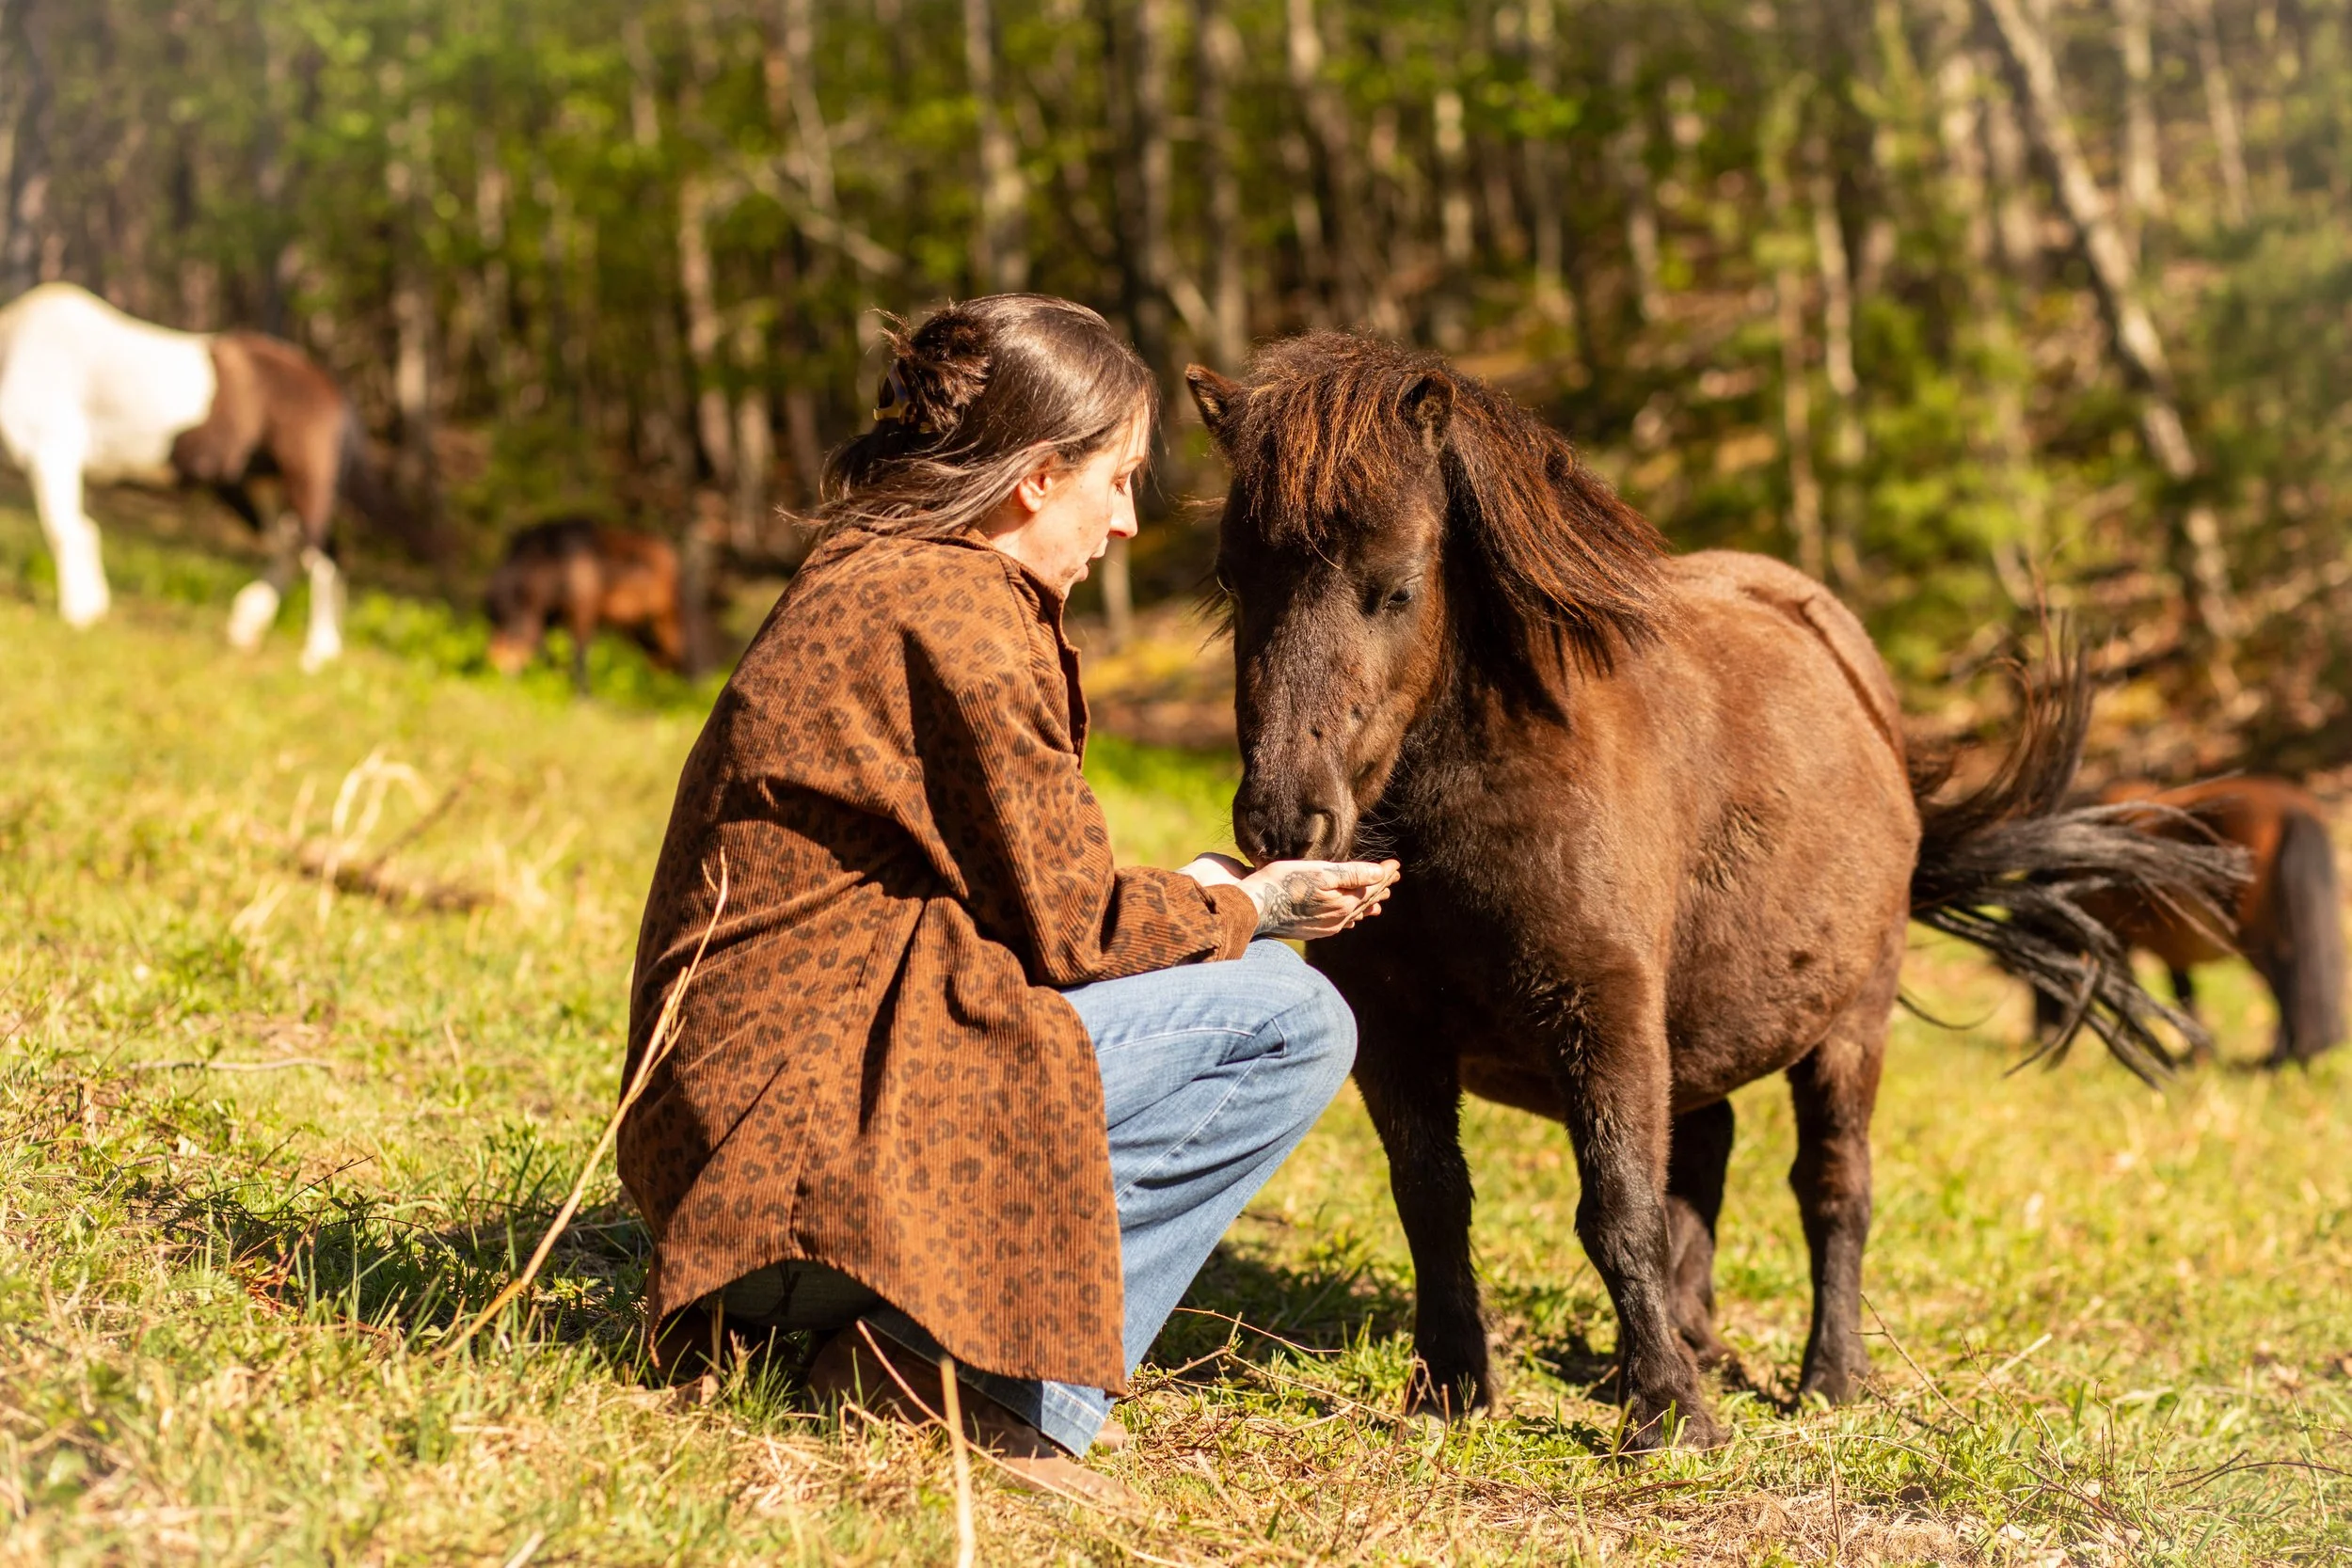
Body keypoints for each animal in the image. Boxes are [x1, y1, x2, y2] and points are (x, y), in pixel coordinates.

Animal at [0, 281, 409, 669]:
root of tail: (328, 385)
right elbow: (85, 529)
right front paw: (94, 604)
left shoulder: (53, 453)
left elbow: (65, 532)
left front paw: (79, 612)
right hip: (256, 484)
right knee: (287, 546)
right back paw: (249, 622)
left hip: (305, 482)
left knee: (322, 557)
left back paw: (318, 651)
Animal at [484, 518, 688, 693]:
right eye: (493, 621)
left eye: (512, 622)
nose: (497, 667)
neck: (557, 562)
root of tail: (671, 552)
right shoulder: (551, 615)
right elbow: (547, 652)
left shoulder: (583, 610)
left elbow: (579, 654)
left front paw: (583, 694)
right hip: (632, 626)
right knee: (657, 656)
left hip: (666, 618)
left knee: (675, 653)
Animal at [1186, 333, 2243, 1450]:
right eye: (1233, 580)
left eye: (1392, 587)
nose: (1285, 822)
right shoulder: (1395, 1034)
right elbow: (1437, 1201)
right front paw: (1452, 1389)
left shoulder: (1601, 1013)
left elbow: (1618, 1210)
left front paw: (1671, 1412)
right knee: (1706, 1152)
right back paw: (1682, 1345)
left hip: (1848, 1025)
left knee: (1832, 1188)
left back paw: (1829, 1377)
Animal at [2033, 776, 2343, 1066]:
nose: (2040, 1034)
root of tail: (2292, 808)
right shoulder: (2170, 942)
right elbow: (2184, 992)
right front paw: (2198, 1052)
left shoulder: (2120, 935)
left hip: (2259, 942)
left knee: (2283, 989)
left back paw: (2278, 1059)